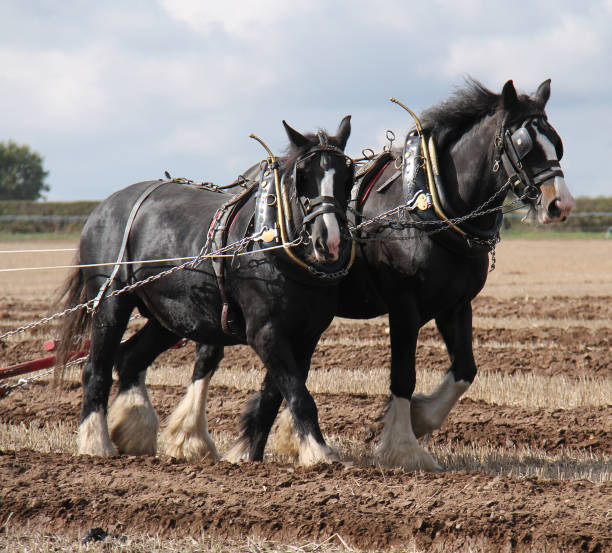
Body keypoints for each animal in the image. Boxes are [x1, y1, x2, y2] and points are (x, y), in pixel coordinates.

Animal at [58, 116, 354, 466]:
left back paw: (135, 432)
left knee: (130, 358)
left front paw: (250, 454)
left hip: (171, 316)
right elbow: (297, 393)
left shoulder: (306, 335)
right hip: (110, 303)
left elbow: (277, 393)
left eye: (348, 176)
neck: (271, 242)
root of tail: (102, 207)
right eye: (303, 176)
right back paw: (96, 443)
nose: (330, 242)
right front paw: (320, 453)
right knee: (96, 369)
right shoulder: (264, 331)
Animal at [253, 77, 572, 470]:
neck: (429, 204)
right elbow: (403, 374)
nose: (560, 204)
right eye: (524, 144)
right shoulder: (404, 305)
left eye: (556, 141)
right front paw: (402, 446)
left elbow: (465, 370)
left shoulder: (455, 305)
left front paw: (421, 419)